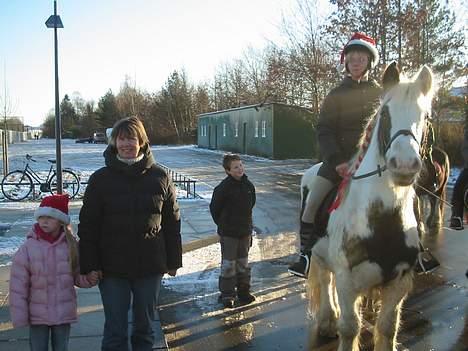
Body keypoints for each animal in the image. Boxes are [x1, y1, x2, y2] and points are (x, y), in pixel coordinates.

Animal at [306, 63, 434, 351]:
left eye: (425, 116)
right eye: (385, 114)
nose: (404, 165)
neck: (380, 220)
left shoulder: (399, 281)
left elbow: (387, 328)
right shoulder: (347, 279)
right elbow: (349, 328)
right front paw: (337, 325)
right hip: (319, 256)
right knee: (325, 279)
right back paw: (327, 321)